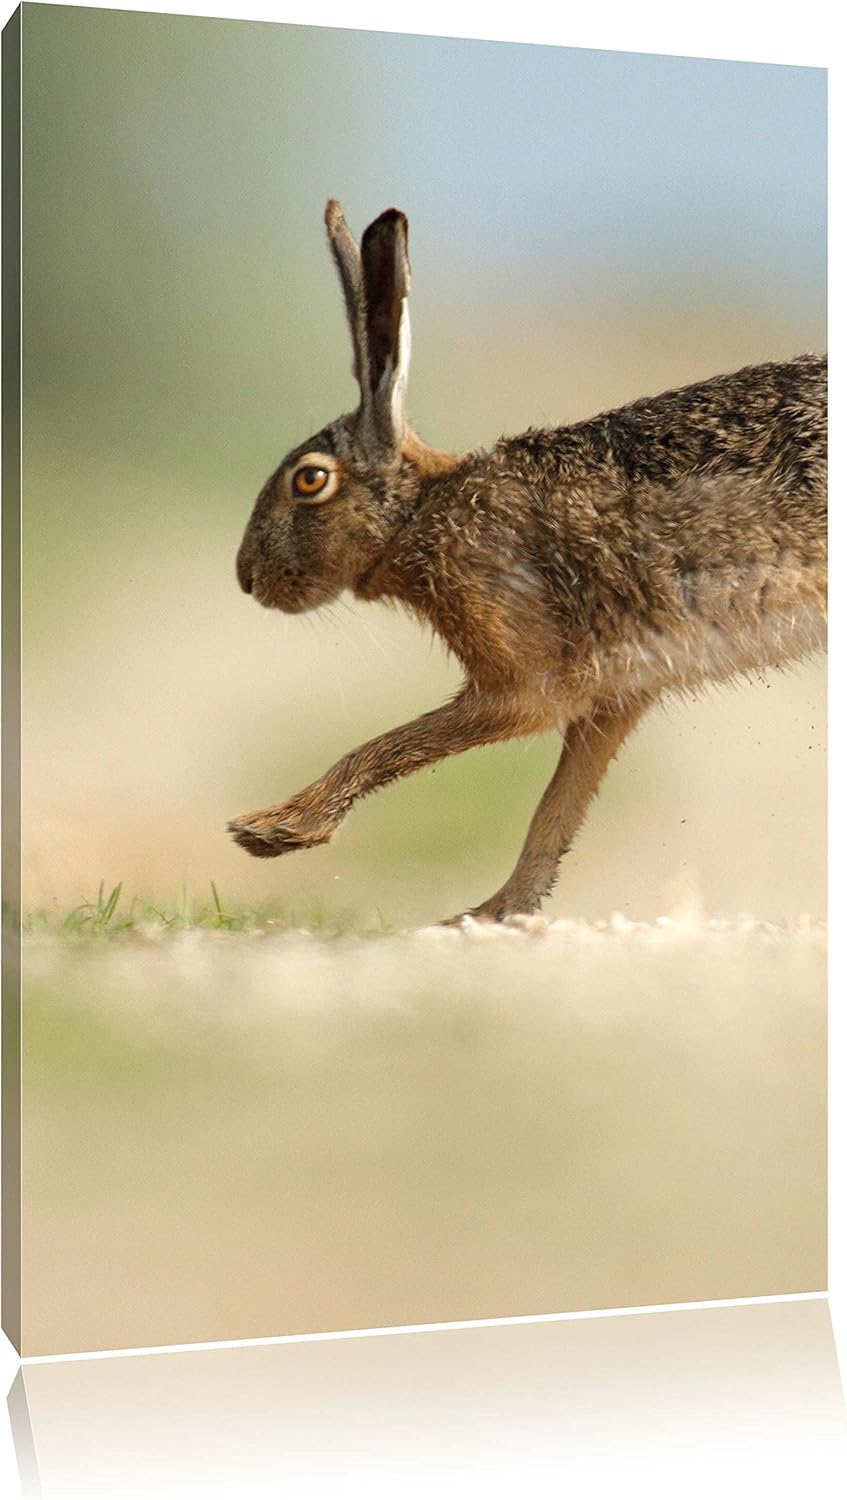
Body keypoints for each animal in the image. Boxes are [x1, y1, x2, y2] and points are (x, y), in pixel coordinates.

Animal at [230, 199, 827, 924]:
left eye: (310, 481)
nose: (247, 579)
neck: (418, 515)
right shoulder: (615, 694)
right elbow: (555, 812)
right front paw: (492, 913)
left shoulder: (523, 681)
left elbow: (396, 744)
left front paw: (272, 830)